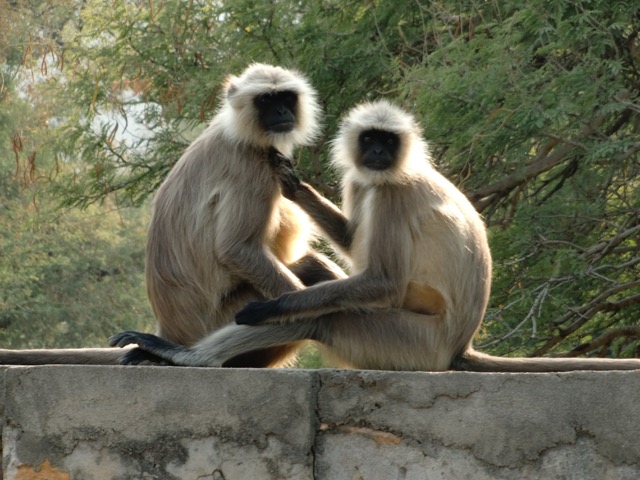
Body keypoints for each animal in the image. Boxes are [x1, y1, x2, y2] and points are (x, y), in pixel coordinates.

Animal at [0, 64, 344, 366]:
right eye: (266, 100)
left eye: (286, 98)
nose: (282, 113)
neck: (237, 131)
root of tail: (168, 329)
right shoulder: (253, 167)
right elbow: (237, 249)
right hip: (227, 314)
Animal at [110, 100, 640, 372]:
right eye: (370, 139)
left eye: (388, 140)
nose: (379, 153)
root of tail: (458, 346)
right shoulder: (362, 180)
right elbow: (351, 241)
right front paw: (295, 186)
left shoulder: (391, 195)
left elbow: (382, 282)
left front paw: (272, 305)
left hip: (411, 346)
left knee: (322, 319)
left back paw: (185, 356)